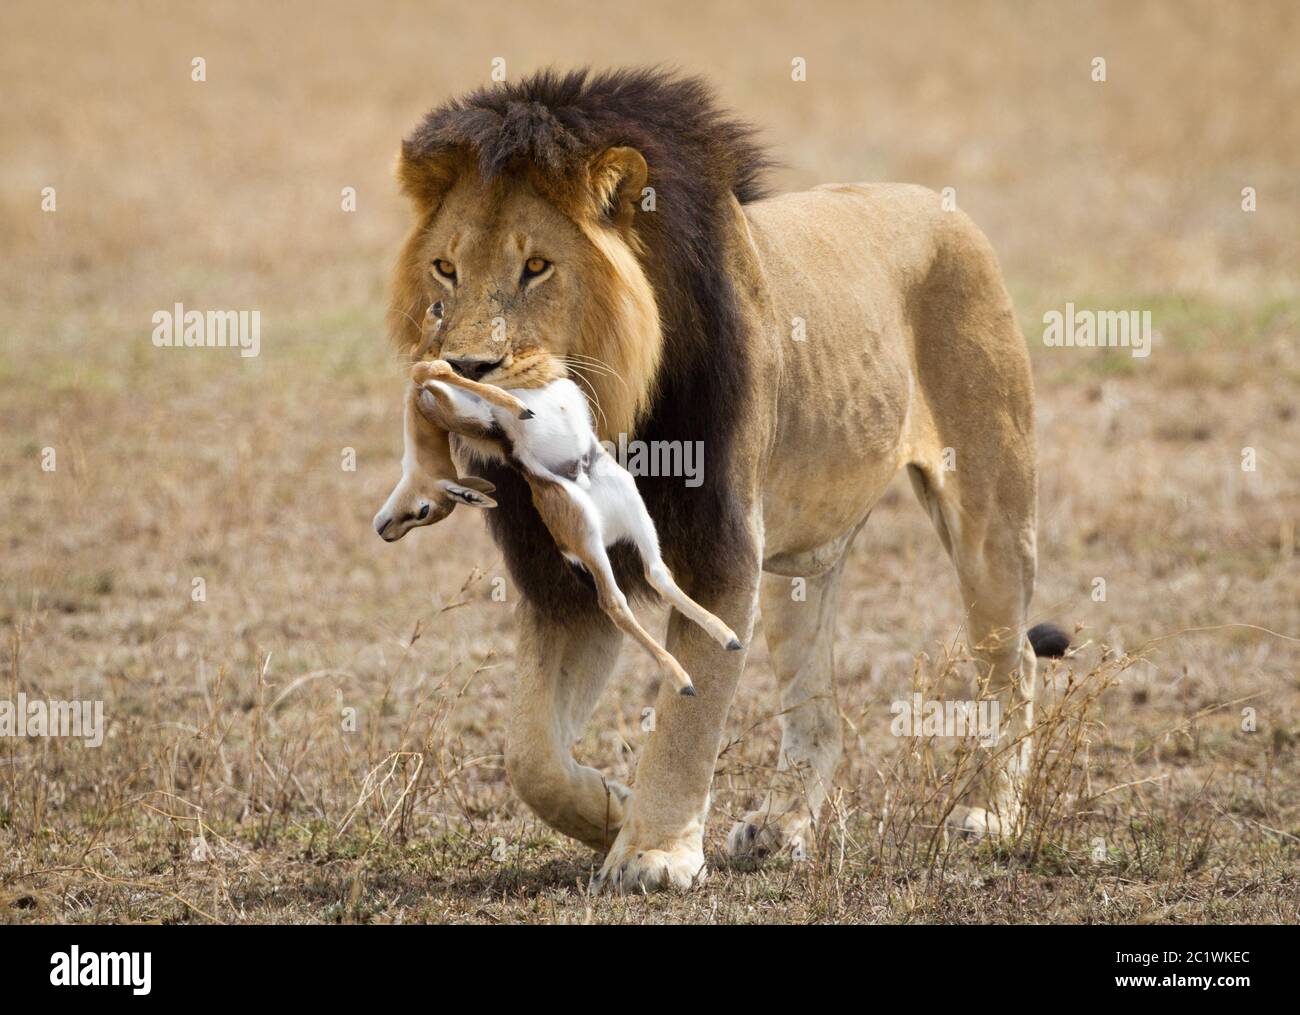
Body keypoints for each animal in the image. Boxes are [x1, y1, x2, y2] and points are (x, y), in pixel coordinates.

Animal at [382, 67, 1066, 888]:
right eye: (445, 268)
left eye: (537, 267)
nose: (465, 368)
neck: (621, 409)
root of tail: (941, 205)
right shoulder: (568, 576)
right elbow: (530, 754)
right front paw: (612, 810)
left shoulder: (719, 549)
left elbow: (691, 705)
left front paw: (653, 850)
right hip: (801, 567)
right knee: (819, 710)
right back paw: (780, 825)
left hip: (991, 506)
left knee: (1012, 658)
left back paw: (989, 813)